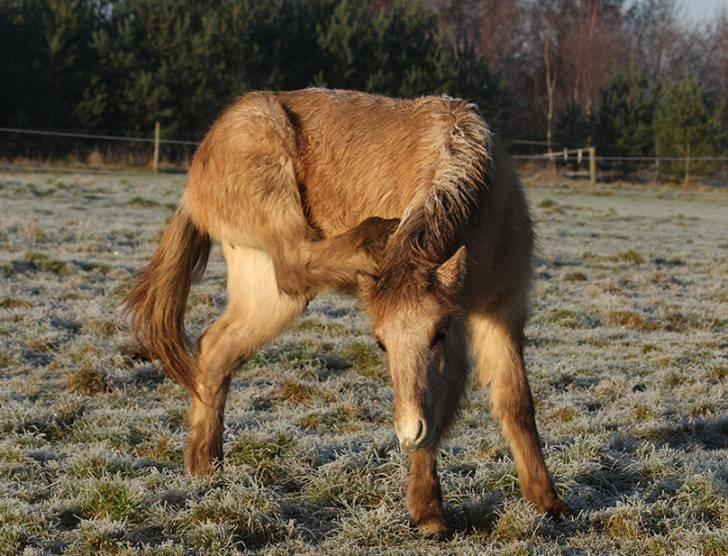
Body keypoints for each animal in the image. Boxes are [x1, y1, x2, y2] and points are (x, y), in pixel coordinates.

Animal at [123, 88, 568, 540]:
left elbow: (514, 402)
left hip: (265, 293)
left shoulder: (500, 310)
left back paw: (205, 466)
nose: (407, 432)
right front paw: (429, 513)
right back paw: (372, 238)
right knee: (293, 262)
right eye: (381, 344)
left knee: (216, 349)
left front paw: (548, 503)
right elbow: (438, 403)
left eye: (439, 334)